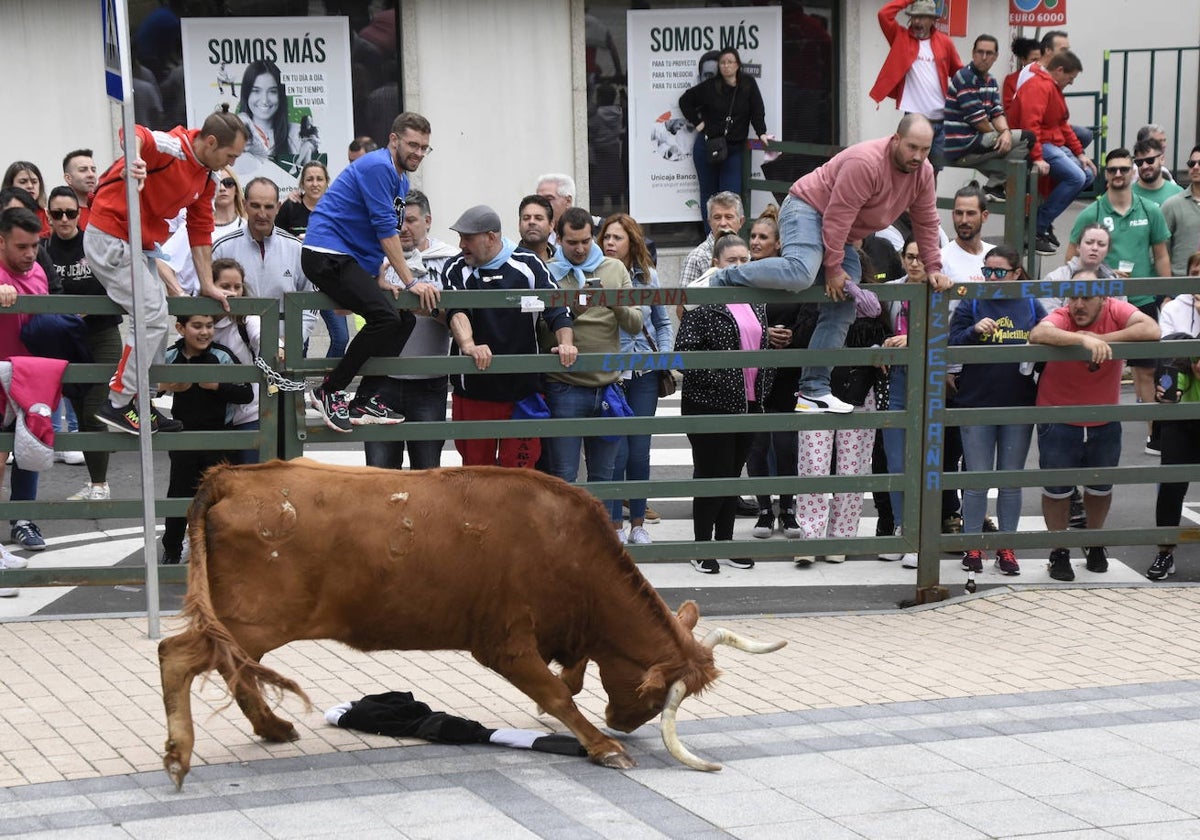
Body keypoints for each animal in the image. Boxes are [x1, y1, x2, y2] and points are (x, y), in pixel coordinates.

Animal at [154, 456, 782, 792]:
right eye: (655, 695)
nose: (623, 722)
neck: (570, 553)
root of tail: (234, 475)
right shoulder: (503, 644)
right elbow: (556, 693)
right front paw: (602, 745)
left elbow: (572, 676)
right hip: (253, 617)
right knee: (177, 654)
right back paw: (180, 755)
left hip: (244, 621)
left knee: (232, 668)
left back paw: (272, 728)